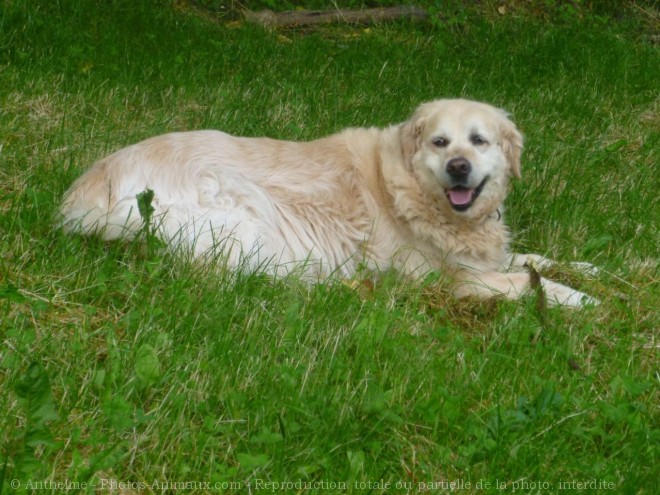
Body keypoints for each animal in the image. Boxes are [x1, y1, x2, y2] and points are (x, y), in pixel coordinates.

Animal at [60, 98, 600, 306]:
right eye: (440, 143)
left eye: (479, 141)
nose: (459, 168)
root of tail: (89, 187)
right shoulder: (454, 279)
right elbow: (529, 282)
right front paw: (585, 300)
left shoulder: (480, 255)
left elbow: (535, 259)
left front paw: (593, 271)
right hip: (243, 208)